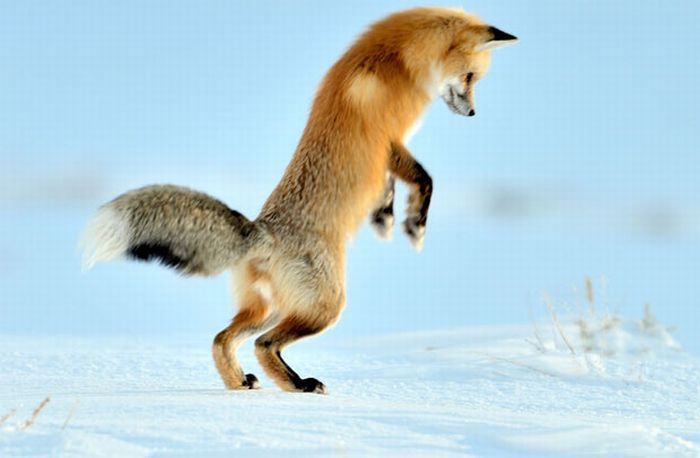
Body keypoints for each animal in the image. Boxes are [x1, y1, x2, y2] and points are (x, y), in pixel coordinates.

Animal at [83, 7, 520, 394]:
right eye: (471, 76)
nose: (473, 113)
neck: (396, 58)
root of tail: (260, 232)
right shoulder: (389, 140)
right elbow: (425, 180)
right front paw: (415, 225)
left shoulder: (384, 159)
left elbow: (387, 191)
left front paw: (384, 220)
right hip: (325, 306)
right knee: (263, 344)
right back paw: (300, 386)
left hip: (271, 308)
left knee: (221, 339)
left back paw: (241, 384)